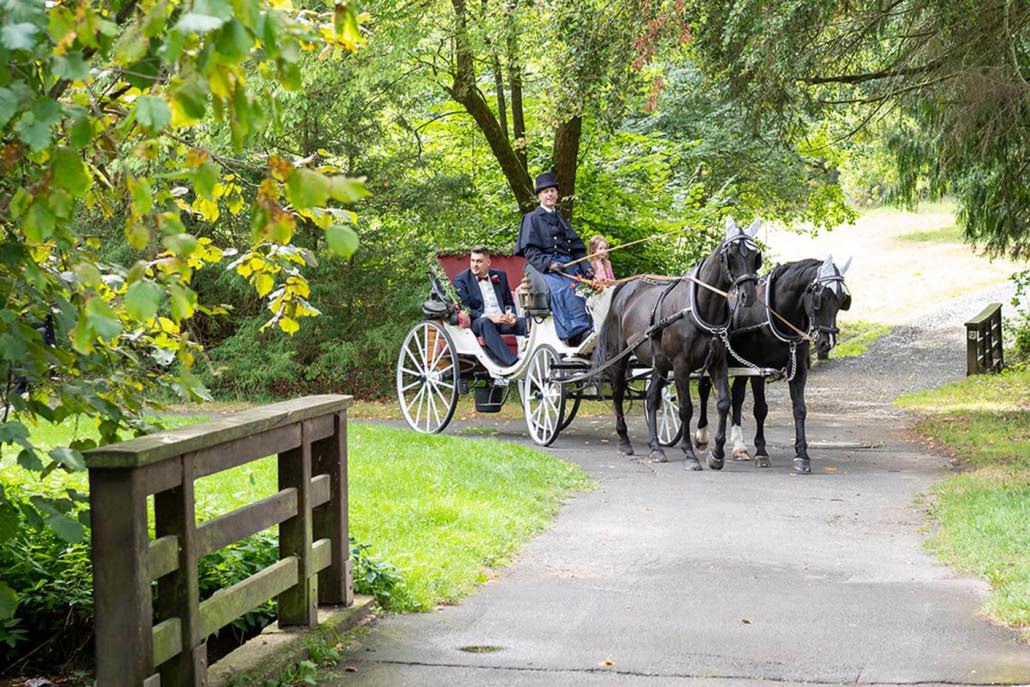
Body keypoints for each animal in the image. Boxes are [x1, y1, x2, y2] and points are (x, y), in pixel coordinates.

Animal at [597, 217, 766, 469]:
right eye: (732, 253)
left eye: (755, 256)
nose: (748, 296)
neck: (700, 309)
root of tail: (626, 287)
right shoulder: (680, 365)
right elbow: (686, 408)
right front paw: (689, 453)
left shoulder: (718, 363)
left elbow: (723, 403)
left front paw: (717, 454)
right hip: (620, 357)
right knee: (618, 394)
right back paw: (624, 441)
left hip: (658, 363)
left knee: (651, 399)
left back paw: (656, 448)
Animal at [692, 256, 852, 473]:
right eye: (821, 297)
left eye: (842, 299)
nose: (827, 343)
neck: (777, 315)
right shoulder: (758, 369)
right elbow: (760, 409)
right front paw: (761, 452)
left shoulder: (798, 370)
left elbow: (800, 409)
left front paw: (802, 455)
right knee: (704, 389)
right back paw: (702, 436)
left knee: (737, 396)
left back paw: (739, 447)